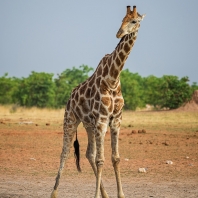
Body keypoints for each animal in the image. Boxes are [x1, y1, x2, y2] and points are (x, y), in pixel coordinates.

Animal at [50, 5, 145, 198]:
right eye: (122, 19)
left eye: (134, 21)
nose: (119, 33)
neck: (113, 78)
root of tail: (70, 96)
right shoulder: (102, 119)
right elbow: (102, 160)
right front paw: (95, 195)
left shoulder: (116, 119)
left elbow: (115, 158)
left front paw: (120, 194)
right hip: (70, 119)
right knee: (65, 152)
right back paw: (54, 193)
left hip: (89, 125)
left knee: (89, 153)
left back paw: (105, 194)